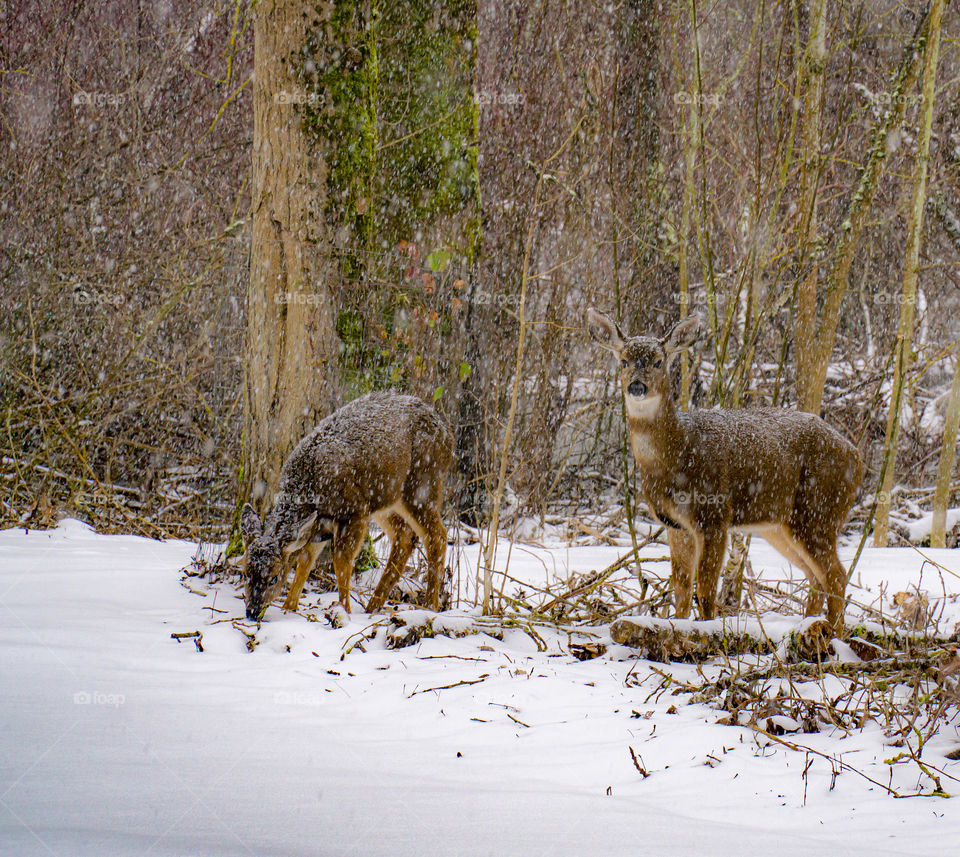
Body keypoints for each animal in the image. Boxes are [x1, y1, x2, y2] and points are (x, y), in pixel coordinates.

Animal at [238, 390, 452, 620]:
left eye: (274, 578)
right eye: (246, 573)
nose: (252, 611)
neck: (308, 487)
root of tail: (447, 434)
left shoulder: (354, 511)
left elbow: (341, 561)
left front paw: (343, 610)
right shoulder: (317, 527)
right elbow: (305, 562)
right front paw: (289, 607)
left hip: (422, 483)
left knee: (437, 534)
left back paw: (430, 605)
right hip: (386, 499)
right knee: (405, 536)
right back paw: (373, 607)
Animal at [584, 310, 864, 632]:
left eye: (658, 361)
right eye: (624, 361)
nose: (637, 387)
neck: (676, 457)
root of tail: (855, 455)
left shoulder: (715, 514)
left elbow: (706, 589)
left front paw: (708, 631)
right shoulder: (674, 524)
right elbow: (681, 587)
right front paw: (679, 626)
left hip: (819, 510)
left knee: (836, 575)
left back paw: (834, 633)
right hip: (779, 524)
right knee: (815, 577)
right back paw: (809, 627)